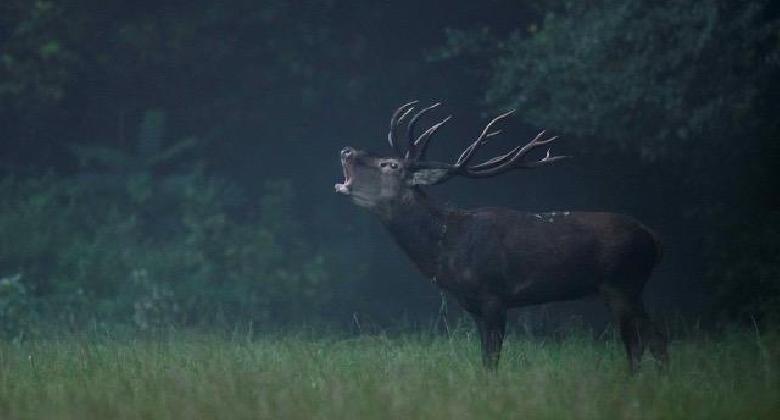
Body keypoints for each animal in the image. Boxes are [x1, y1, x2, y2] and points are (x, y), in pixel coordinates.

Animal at [332, 101, 668, 370]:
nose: (346, 149)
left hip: (622, 282)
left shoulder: (494, 295)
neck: (447, 250)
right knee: (652, 338)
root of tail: (654, 239)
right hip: (628, 287)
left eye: (390, 164)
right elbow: (484, 357)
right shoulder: (474, 307)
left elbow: (492, 358)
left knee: (643, 341)